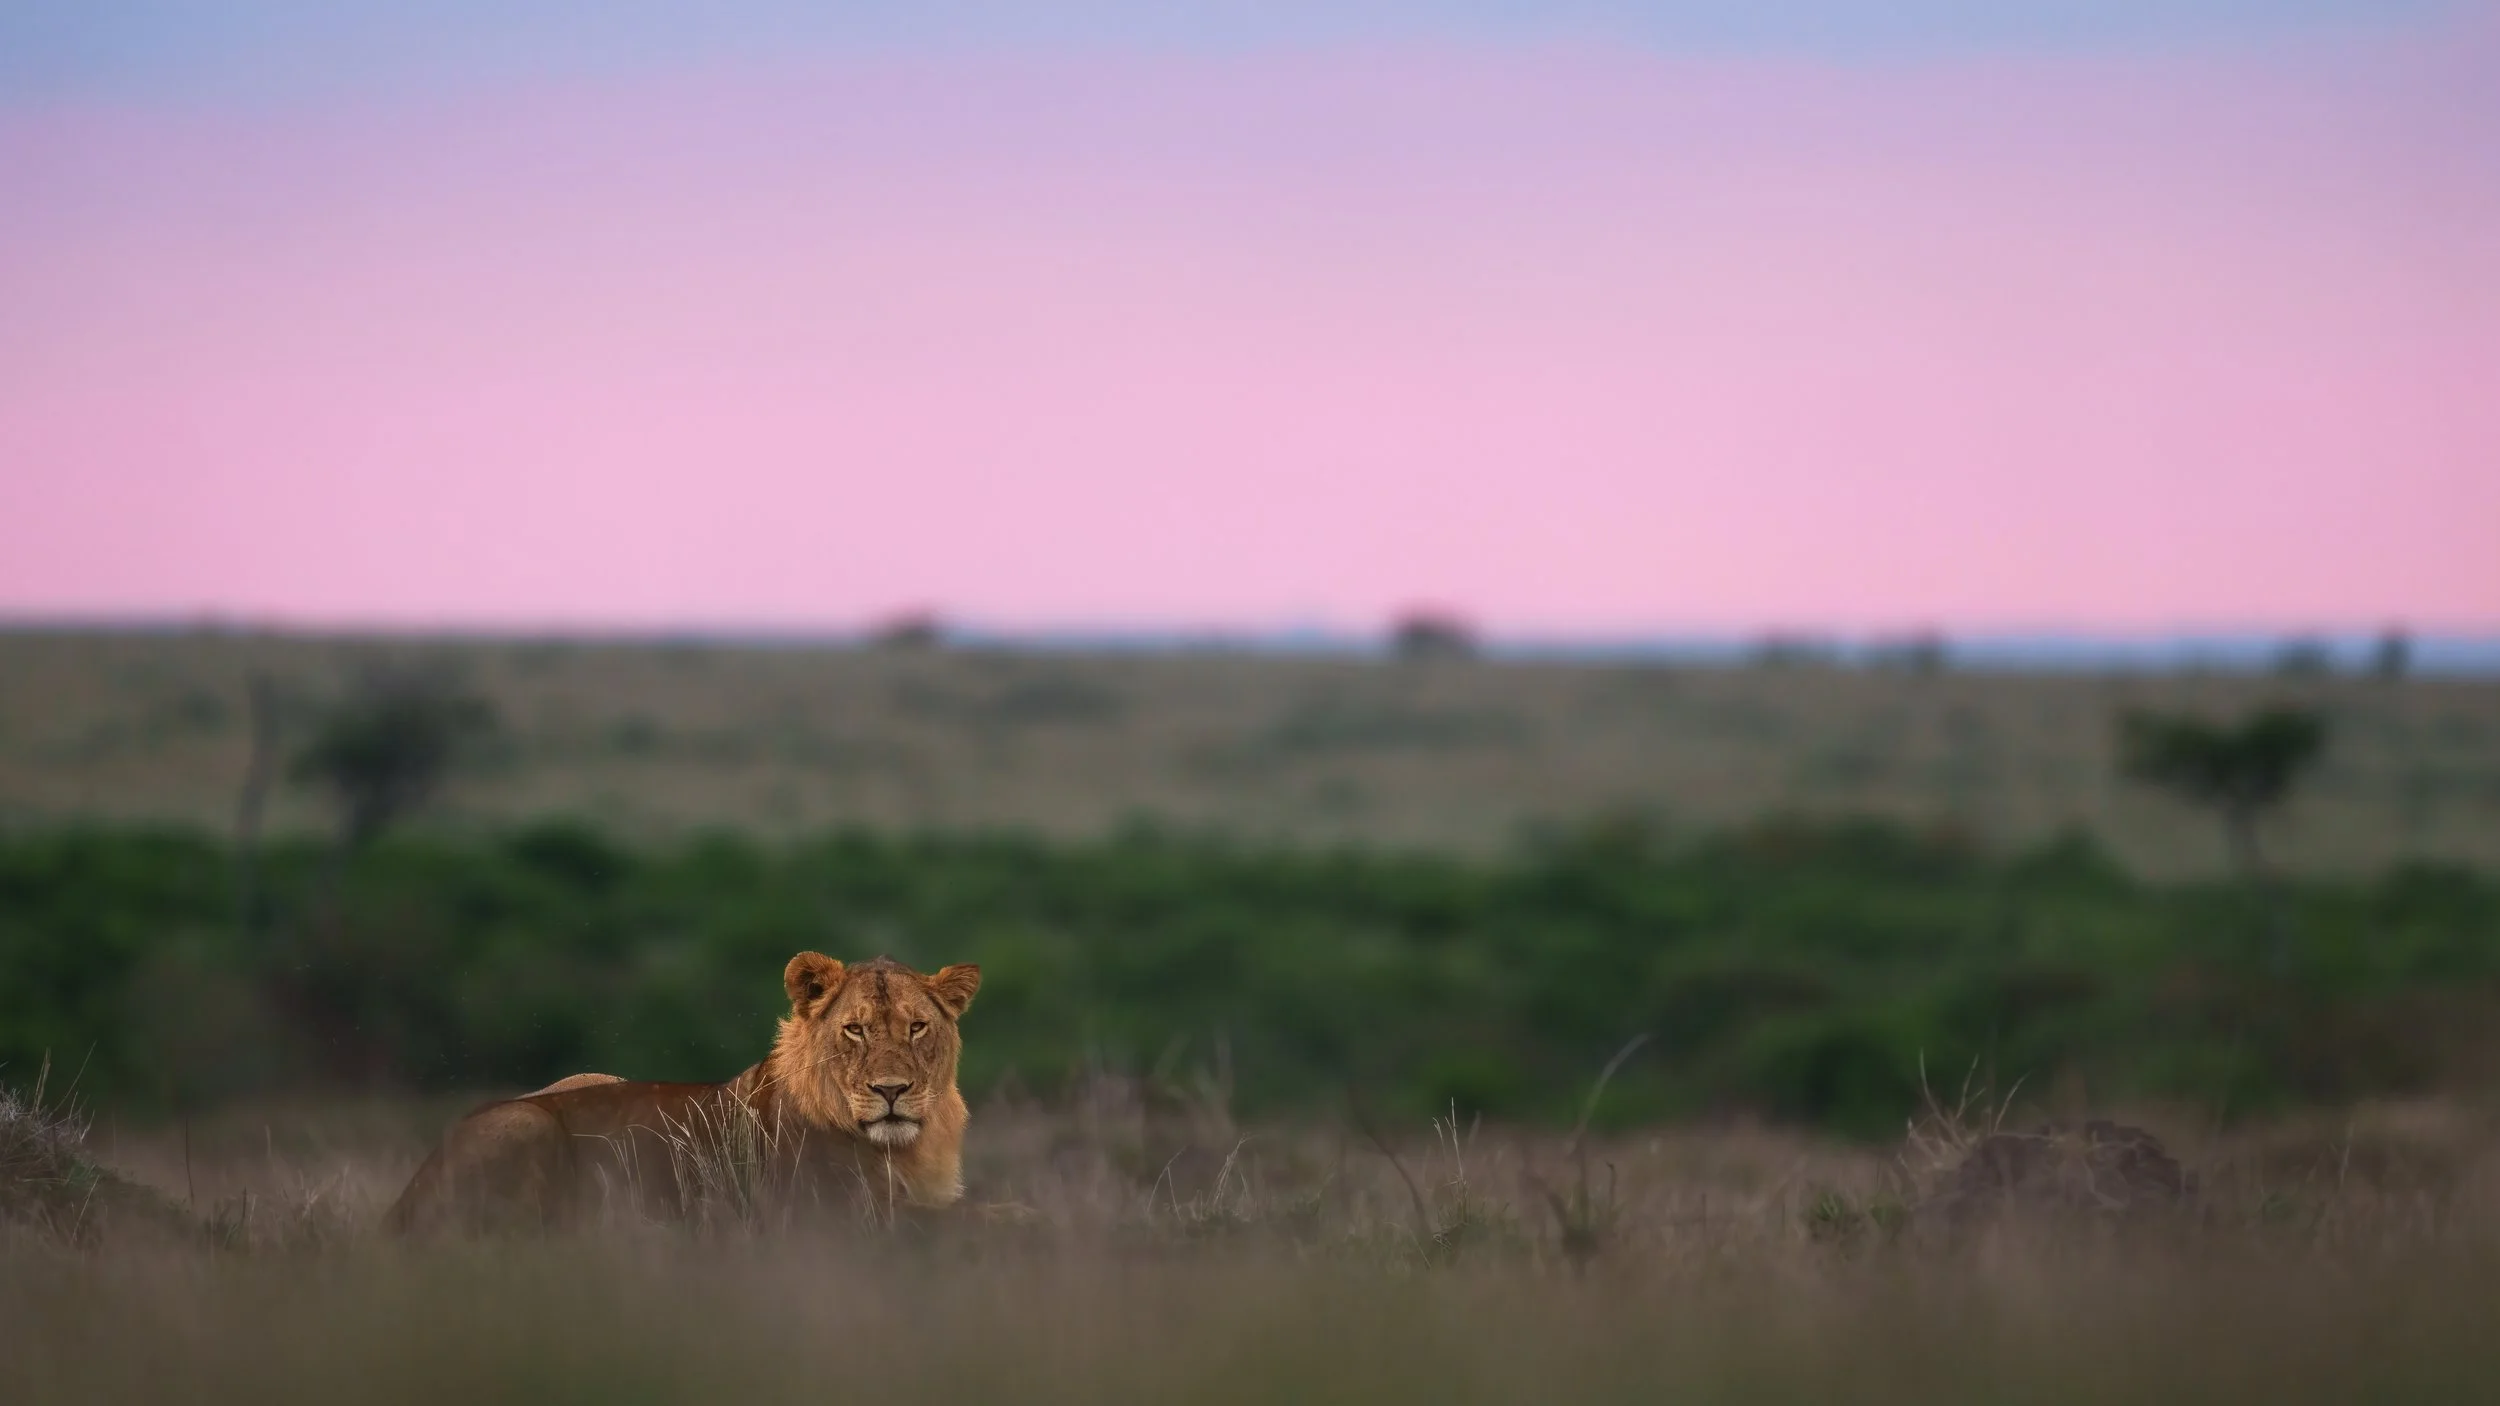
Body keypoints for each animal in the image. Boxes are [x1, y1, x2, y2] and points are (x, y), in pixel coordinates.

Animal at [385, 952, 979, 1236]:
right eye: (855, 1030)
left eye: (917, 1028)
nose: (891, 1090)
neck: (911, 1147)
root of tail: (401, 1203)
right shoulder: (829, 1215)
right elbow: (973, 1216)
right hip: (526, 1124)